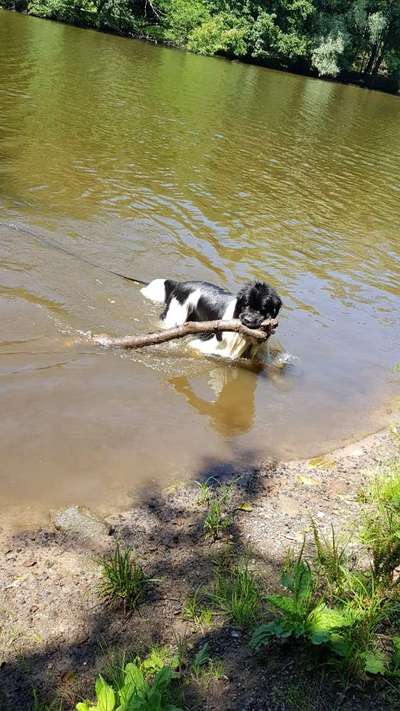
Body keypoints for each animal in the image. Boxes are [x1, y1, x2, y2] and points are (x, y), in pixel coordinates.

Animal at [141, 276, 282, 358]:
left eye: (262, 310)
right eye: (245, 304)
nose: (247, 320)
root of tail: (180, 284)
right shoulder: (207, 345)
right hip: (174, 317)